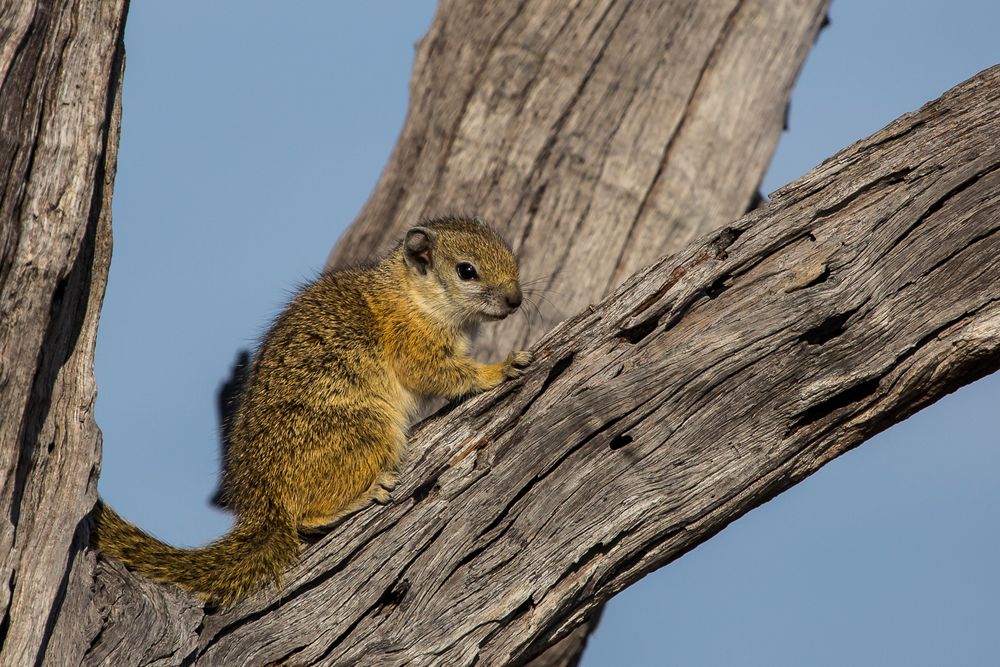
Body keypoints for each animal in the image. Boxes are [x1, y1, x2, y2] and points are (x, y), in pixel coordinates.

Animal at [94, 218, 532, 604]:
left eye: (512, 255)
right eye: (466, 271)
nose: (516, 300)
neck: (414, 295)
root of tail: (264, 503)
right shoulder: (412, 341)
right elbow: (438, 372)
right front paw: (499, 368)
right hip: (365, 432)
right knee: (304, 517)